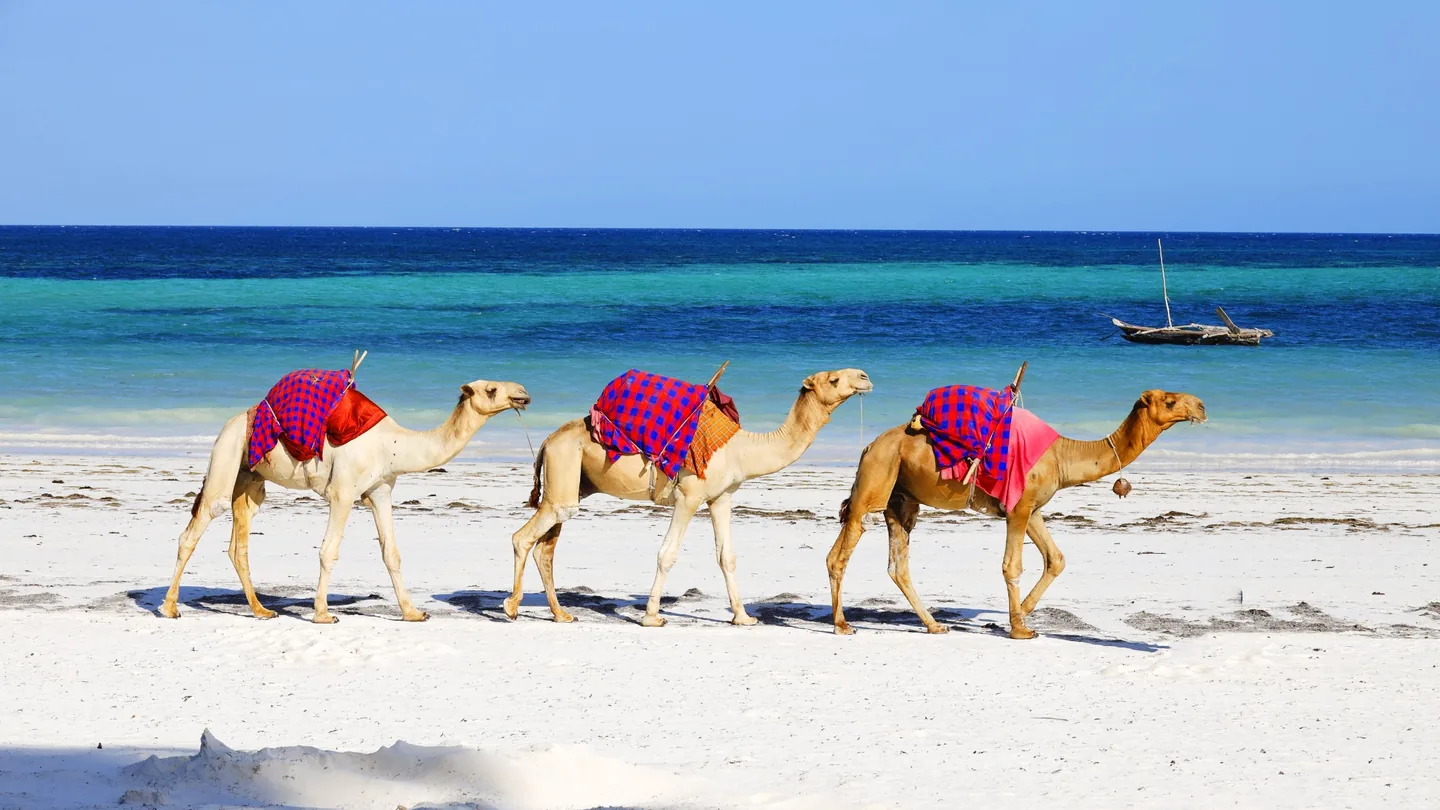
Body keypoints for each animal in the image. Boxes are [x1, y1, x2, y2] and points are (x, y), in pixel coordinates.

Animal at [160, 378, 531, 623]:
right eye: (491, 390)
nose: (523, 394)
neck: (392, 445)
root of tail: (233, 421)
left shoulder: (381, 491)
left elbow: (391, 552)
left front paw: (413, 612)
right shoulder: (343, 492)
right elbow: (328, 550)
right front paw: (323, 614)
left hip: (250, 478)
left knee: (239, 543)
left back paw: (261, 610)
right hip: (227, 455)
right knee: (198, 525)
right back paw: (170, 607)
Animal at [506, 368, 872, 627]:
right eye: (834, 378)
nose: (865, 377)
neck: (741, 450)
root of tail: (548, 440)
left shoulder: (721, 498)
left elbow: (727, 556)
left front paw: (743, 617)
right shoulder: (689, 495)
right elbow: (667, 553)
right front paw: (652, 616)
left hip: (571, 483)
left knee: (546, 547)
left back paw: (561, 614)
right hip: (564, 469)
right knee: (523, 538)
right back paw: (511, 607)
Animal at [826, 389, 1205, 637]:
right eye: (1170, 401)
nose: (1201, 407)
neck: (1062, 455)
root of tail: (868, 446)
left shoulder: (1032, 508)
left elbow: (1056, 559)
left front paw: (1019, 614)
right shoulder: (1018, 509)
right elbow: (1012, 565)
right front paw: (1020, 628)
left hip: (900, 498)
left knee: (898, 564)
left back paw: (934, 625)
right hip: (875, 481)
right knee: (841, 552)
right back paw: (842, 625)